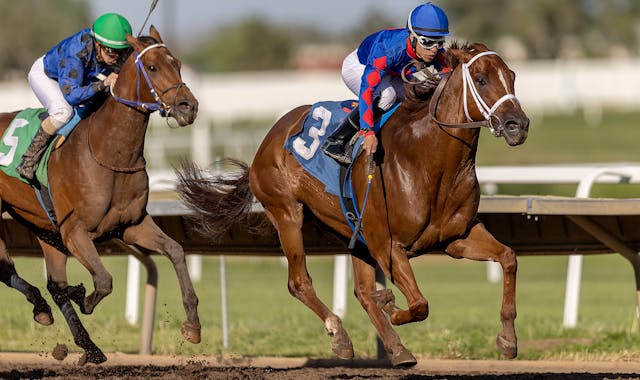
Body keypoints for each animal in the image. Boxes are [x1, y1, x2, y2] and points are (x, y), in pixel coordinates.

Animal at [0, 25, 200, 364]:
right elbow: (103, 281)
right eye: (152, 67)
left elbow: (175, 250)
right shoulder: (75, 232)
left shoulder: (130, 225)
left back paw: (85, 343)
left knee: (52, 284)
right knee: (8, 269)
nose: (189, 106)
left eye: (179, 64)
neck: (109, 152)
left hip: (42, 226)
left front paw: (192, 324)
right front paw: (84, 296)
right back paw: (46, 309)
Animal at [178, 41, 528, 366]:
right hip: (287, 213)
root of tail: (270, 137)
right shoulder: (387, 244)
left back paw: (397, 349)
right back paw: (341, 335)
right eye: (481, 79)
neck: (428, 160)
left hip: (352, 231)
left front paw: (508, 340)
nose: (518, 125)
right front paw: (392, 305)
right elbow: (419, 304)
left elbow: (509, 257)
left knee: (361, 291)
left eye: (512, 76)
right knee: (299, 282)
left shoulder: (456, 237)